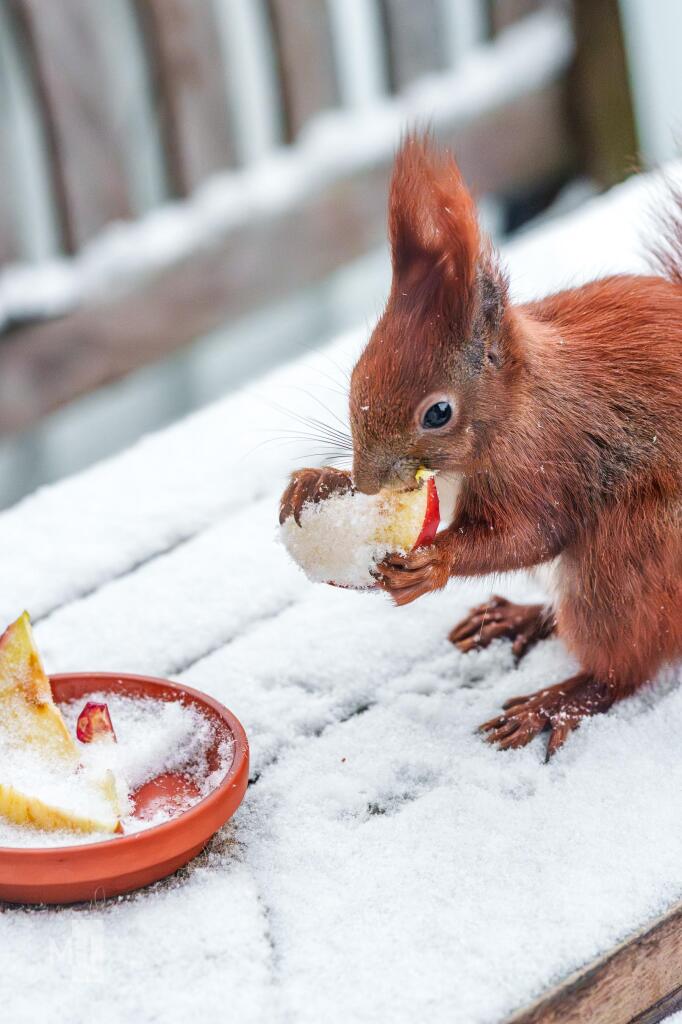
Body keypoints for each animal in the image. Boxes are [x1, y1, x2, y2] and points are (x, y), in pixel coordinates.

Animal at [279, 133, 682, 758]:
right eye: (356, 370)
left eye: (438, 413)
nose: (366, 480)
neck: (514, 409)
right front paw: (317, 483)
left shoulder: (545, 459)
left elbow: (532, 533)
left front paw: (434, 562)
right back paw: (519, 617)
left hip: (636, 551)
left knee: (624, 667)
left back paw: (555, 702)